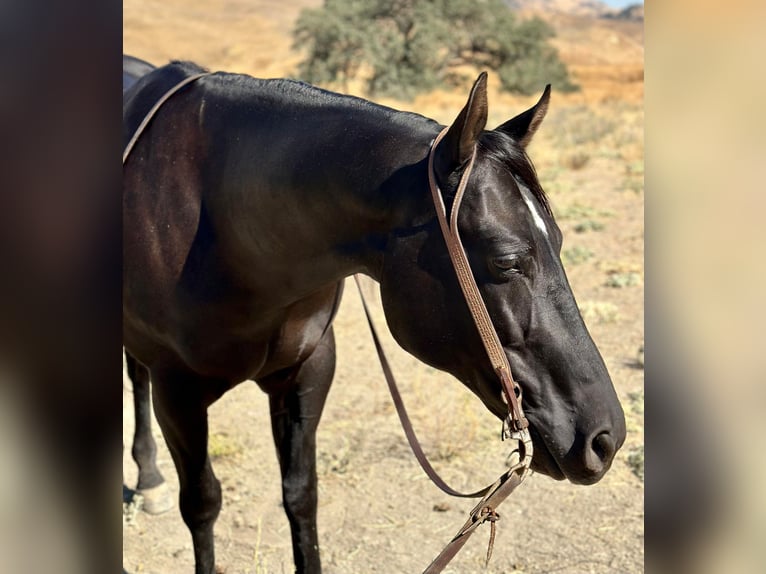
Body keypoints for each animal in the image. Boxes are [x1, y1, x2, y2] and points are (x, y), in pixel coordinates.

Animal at [123, 62, 628, 574]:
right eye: (506, 261)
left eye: (559, 240)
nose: (606, 437)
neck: (225, 227)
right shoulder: (178, 394)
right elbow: (202, 504)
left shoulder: (308, 371)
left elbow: (301, 495)